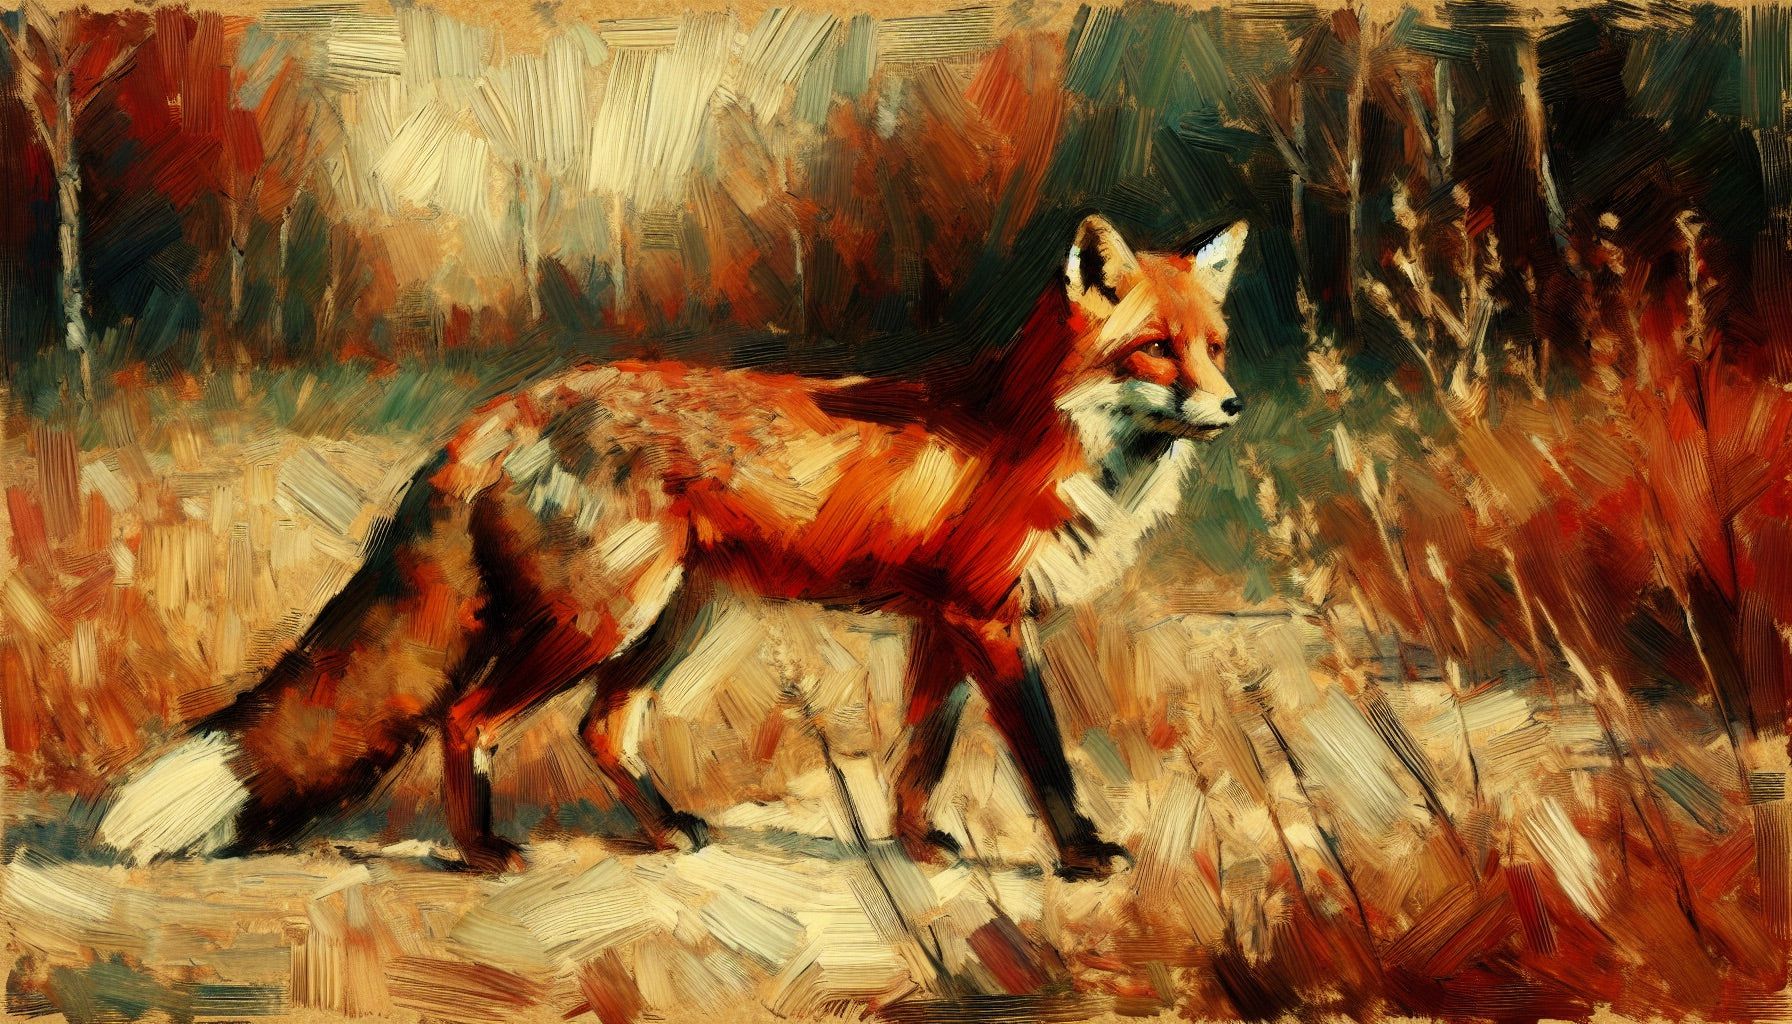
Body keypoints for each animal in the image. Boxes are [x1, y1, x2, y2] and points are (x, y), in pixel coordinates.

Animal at [95, 214, 1248, 881]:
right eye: (1155, 349)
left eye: (1216, 345)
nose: (1233, 405)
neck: (1031, 437)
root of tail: (501, 410)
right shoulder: (988, 624)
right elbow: (1043, 756)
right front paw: (1082, 854)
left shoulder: (946, 623)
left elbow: (921, 756)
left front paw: (922, 845)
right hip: (603, 619)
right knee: (469, 719)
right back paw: (482, 852)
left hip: (671, 624)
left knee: (601, 731)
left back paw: (663, 833)